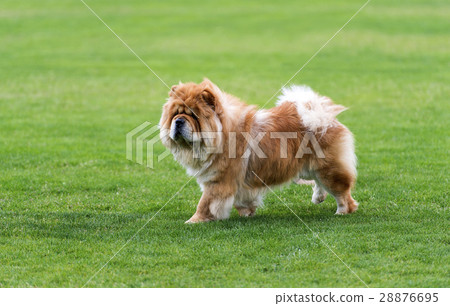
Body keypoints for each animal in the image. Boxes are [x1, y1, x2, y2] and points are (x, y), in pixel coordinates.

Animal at [160, 79, 356, 222]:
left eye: (193, 115)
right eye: (175, 114)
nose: (179, 121)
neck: (223, 134)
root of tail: (323, 116)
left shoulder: (218, 181)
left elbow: (205, 203)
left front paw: (194, 221)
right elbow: (242, 199)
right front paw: (247, 212)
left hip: (328, 169)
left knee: (342, 192)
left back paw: (342, 211)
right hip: (307, 167)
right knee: (319, 182)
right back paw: (318, 197)